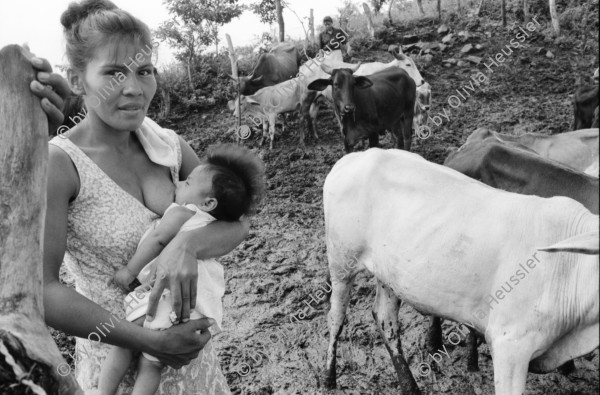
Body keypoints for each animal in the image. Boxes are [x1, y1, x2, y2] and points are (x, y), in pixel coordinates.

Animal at [326, 149, 596, 395]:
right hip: (341, 264)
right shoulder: (509, 345)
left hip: (388, 277)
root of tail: (357, 156)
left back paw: (410, 386)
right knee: (336, 317)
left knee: (385, 320)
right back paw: (329, 378)